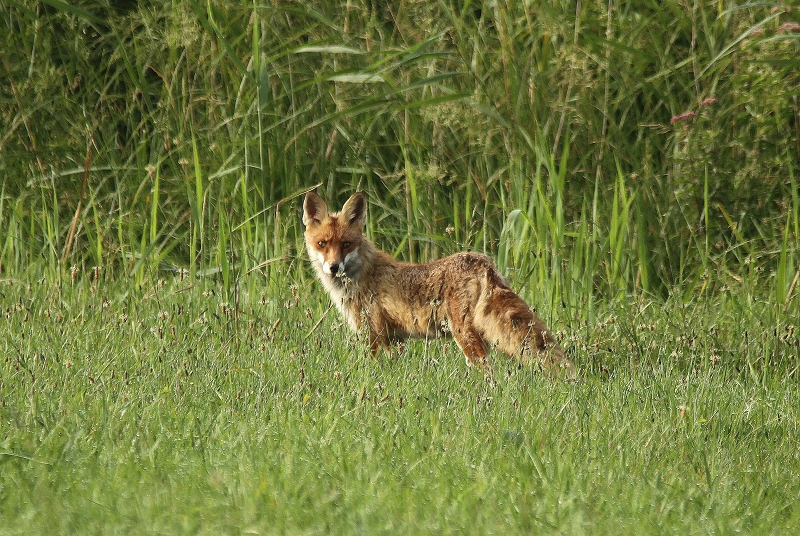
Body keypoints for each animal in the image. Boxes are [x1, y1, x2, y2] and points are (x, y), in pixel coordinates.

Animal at [304, 192, 576, 376]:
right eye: (322, 244)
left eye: (346, 244)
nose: (334, 267)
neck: (363, 273)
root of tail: (482, 262)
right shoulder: (393, 340)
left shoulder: (372, 333)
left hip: (464, 335)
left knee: (488, 372)